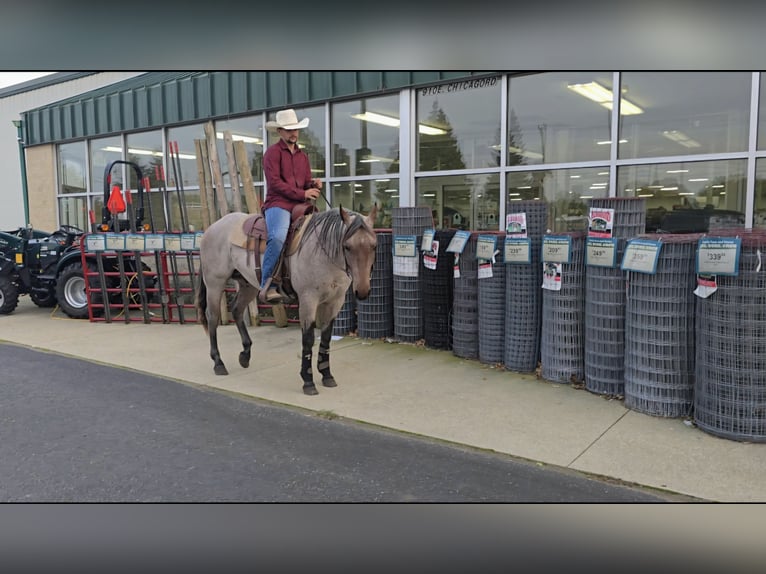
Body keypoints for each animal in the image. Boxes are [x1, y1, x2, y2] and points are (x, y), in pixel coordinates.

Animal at [196, 206, 380, 396]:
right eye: (347, 247)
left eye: (374, 246)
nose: (362, 291)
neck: (322, 252)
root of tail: (213, 227)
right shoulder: (308, 300)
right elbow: (308, 339)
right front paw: (308, 381)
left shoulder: (335, 301)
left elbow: (326, 337)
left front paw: (327, 375)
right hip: (215, 283)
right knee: (212, 317)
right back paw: (218, 362)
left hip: (248, 285)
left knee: (237, 309)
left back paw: (245, 355)